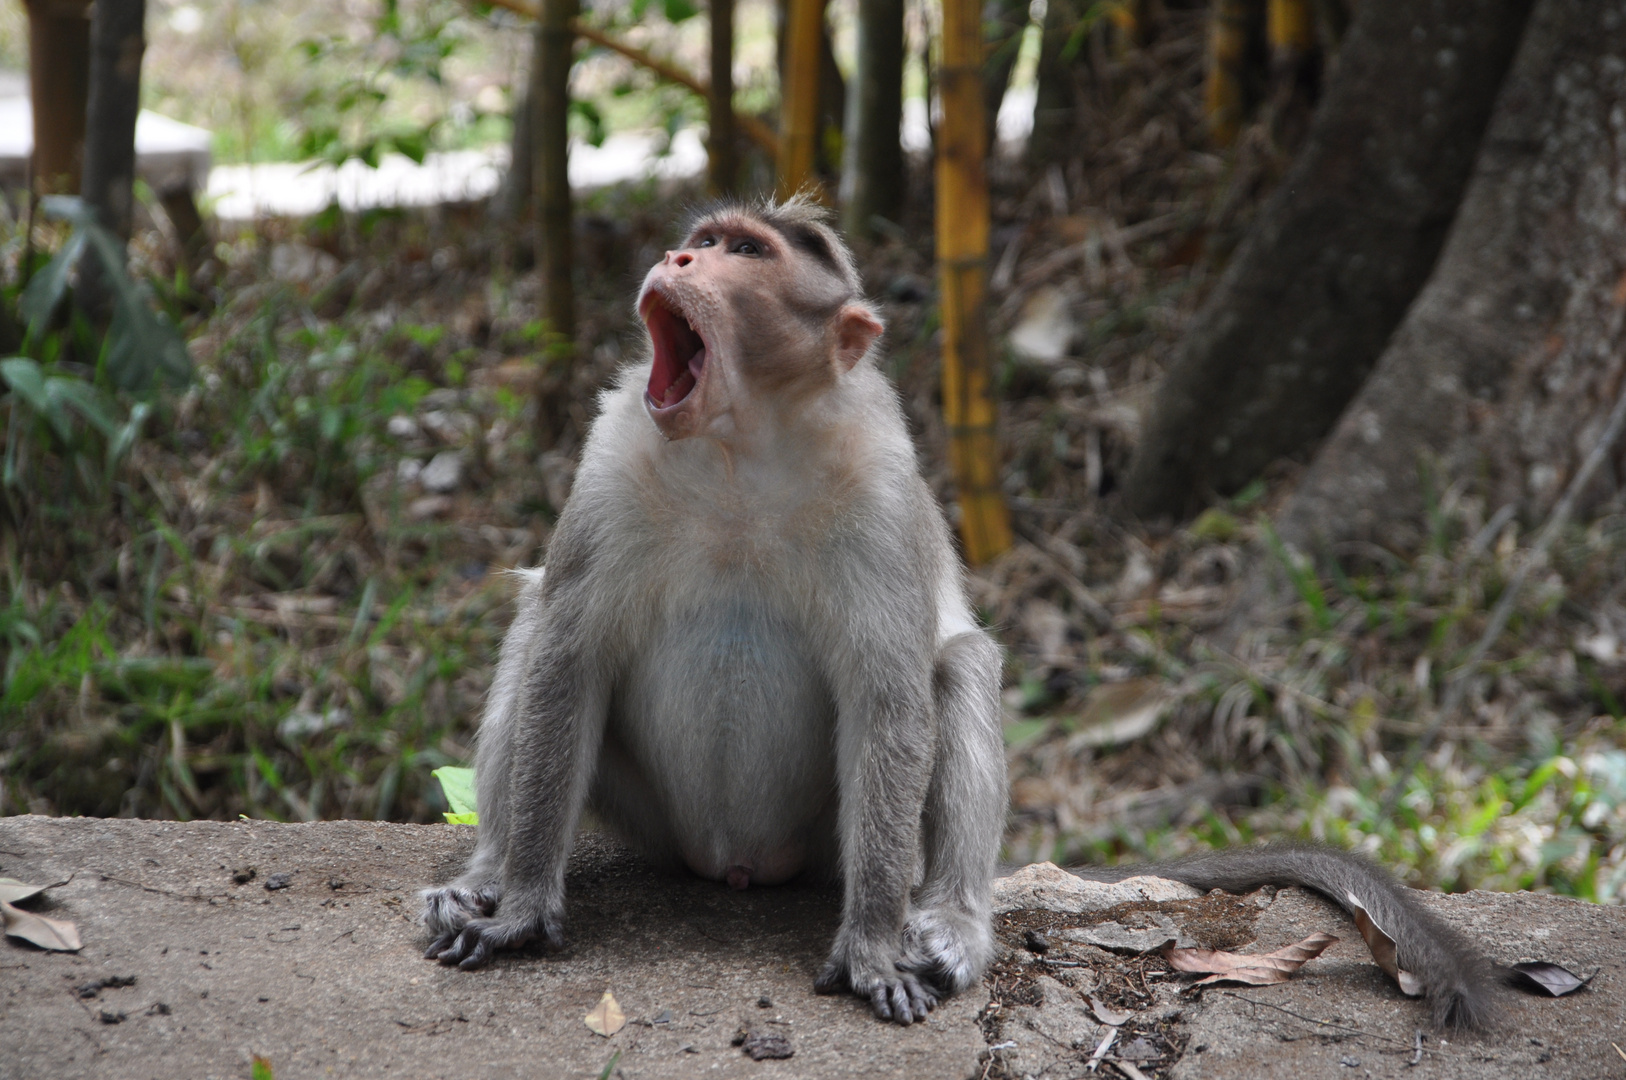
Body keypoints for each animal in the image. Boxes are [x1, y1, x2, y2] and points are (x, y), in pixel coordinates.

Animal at [419, 194, 1495, 1027]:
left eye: (746, 253)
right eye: (704, 237)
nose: (679, 259)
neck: (739, 448)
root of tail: (736, 864)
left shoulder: (885, 496)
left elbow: (894, 697)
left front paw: (871, 947)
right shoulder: (612, 456)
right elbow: (569, 654)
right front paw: (521, 906)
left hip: (831, 837)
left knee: (960, 666)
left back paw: (946, 923)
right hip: (649, 810)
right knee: (536, 620)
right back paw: (484, 871)